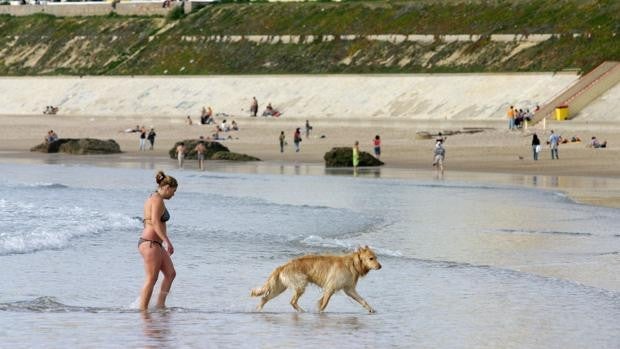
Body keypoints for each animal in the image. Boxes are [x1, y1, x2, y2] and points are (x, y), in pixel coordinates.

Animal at [249, 245, 380, 312]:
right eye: (371, 258)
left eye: (376, 257)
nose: (380, 266)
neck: (352, 263)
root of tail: (283, 266)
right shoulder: (330, 287)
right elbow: (324, 303)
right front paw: (319, 312)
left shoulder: (349, 289)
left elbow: (363, 300)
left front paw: (371, 309)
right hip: (300, 284)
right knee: (292, 301)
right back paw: (302, 311)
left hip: (280, 287)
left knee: (264, 298)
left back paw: (258, 309)